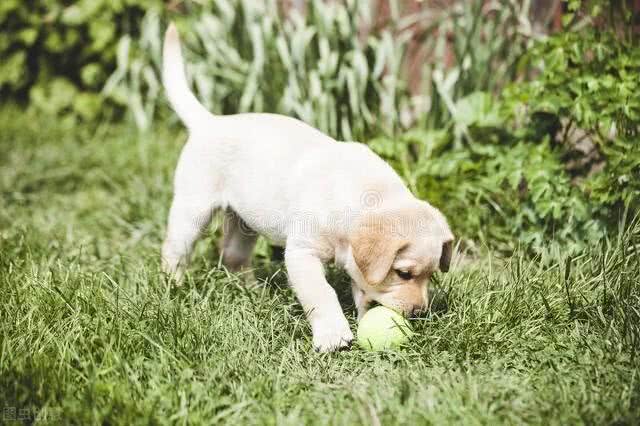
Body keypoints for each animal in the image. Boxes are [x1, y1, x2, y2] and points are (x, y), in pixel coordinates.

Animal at [160, 23, 452, 352]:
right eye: (403, 273)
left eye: (431, 275)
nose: (419, 313)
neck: (362, 196)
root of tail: (209, 122)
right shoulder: (302, 253)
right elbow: (322, 293)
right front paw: (333, 334)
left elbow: (360, 286)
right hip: (192, 209)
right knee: (174, 249)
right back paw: (173, 287)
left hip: (244, 221)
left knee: (233, 255)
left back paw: (253, 292)